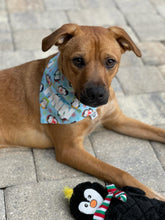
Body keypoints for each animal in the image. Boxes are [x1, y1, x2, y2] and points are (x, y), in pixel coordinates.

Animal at [0, 23, 165, 199]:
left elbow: (157, 131)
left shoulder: (117, 120)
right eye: (78, 60)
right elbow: (119, 172)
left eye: (110, 61)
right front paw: (152, 194)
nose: (96, 94)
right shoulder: (70, 148)